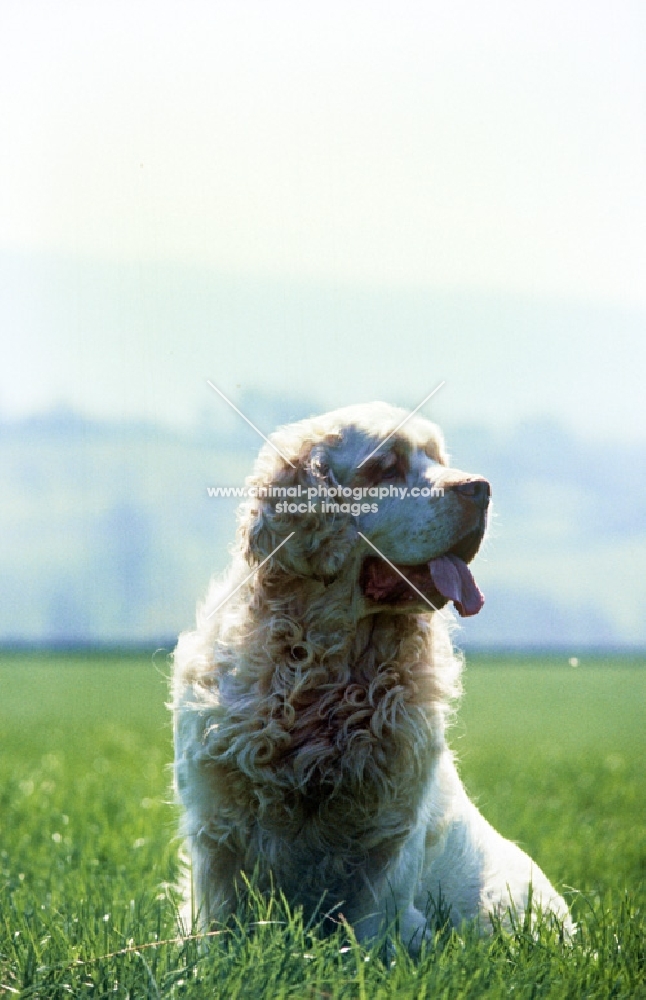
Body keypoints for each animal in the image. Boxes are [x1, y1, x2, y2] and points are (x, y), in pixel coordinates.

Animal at [172, 402, 572, 948]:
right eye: (387, 468)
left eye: (439, 460)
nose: (480, 488)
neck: (327, 670)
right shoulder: (218, 836)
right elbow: (218, 933)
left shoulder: (387, 841)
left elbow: (368, 935)